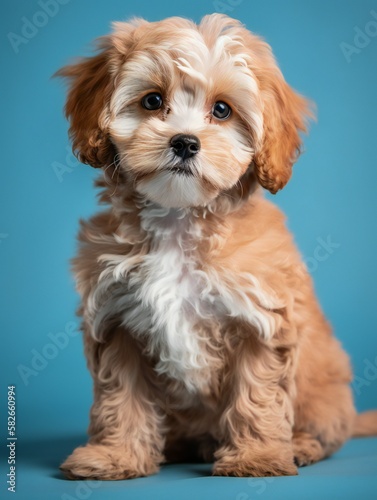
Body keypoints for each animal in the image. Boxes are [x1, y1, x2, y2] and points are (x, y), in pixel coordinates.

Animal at [56, 13, 376, 478]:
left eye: (222, 110)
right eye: (152, 101)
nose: (185, 142)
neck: (179, 219)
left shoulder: (258, 320)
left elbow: (256, 393)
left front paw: (257, 457)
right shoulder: (116, 321)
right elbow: (121, 395)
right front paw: (115, 456)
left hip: (325, 392)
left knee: (324, 430)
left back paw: (299, 445)